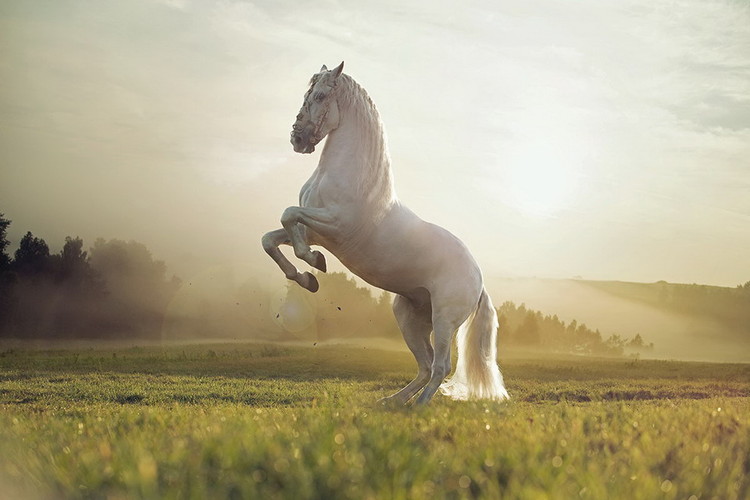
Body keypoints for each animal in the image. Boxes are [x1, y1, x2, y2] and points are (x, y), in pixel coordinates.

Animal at [262, 62, 509, 405]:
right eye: (306, 94)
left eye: (321, 95)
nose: (297, 139)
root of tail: (479, 279)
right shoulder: (314, 231)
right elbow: (271, 238)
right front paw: (307, 278)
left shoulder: (333, 225)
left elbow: (288, 217)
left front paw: (313, 263)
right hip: (408, 317)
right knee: (425, 365)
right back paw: (391, 402)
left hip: (444, 320)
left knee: (441, 366)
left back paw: (417, 407)